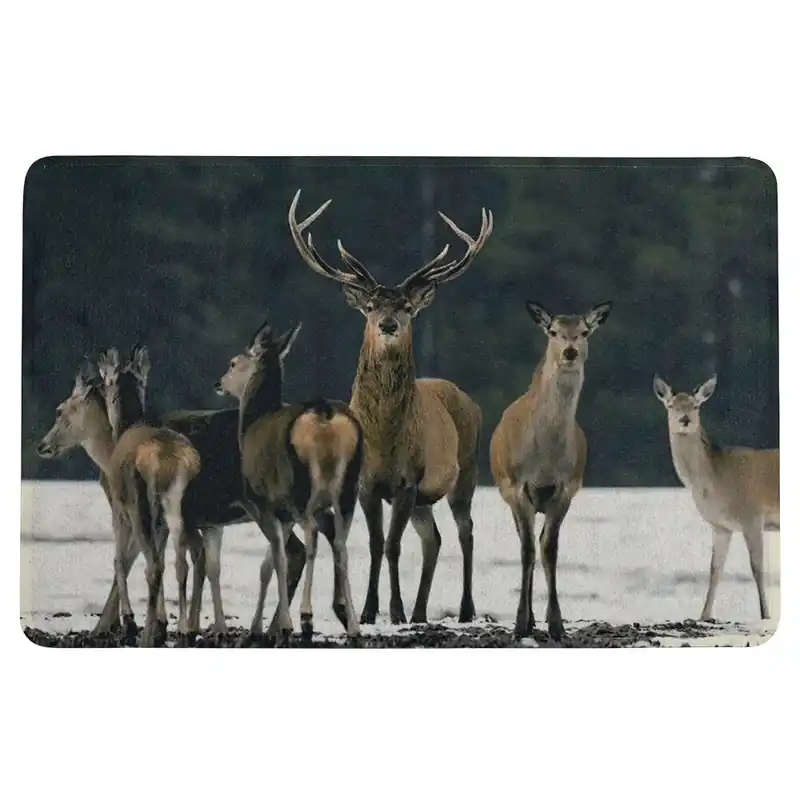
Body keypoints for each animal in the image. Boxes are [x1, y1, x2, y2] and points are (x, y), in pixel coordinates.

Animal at [96, 345, 202, 646]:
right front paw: (162, 623)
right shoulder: (163, 522)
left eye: (106, 382)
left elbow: (119, 561)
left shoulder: (118, 508)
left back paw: (145, 633)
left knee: (152, 566)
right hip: (186, 506)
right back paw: (184, 631)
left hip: (138, 503)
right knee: (186, 559)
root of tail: (169, 462)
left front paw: (131, 622)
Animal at [215, 317, 364, 643]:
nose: (218, 383)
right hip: (348, 488)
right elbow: (270, 563)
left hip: (299, 488)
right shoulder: (284, 513)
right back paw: (354, 626)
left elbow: (278, 560)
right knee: (342, 544)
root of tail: (324, 414)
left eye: (233, 362)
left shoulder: (265, 503)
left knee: (312, 537)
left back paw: (307, 618)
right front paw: (266, 626)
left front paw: (279, 625)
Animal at [287, 189, 491, 626]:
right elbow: (377, 545)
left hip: (465, 470)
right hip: (425, 499)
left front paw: (393, 611)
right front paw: (368, 611)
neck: (382, 435)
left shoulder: (407, 480)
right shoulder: (365, 484)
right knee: (434, 538)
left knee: (465, 532)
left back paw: (464, 610)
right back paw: (420, 612)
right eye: (370, 307)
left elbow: (394, 546)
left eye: (407, 308)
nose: (388, 325)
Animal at [490, 300, 613, 641]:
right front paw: (520, 624)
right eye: (554, 331)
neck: (545, 459)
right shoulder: (518, 487)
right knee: (526, 544)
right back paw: (529, 619)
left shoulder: (565, 489)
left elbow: (550, 549)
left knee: (539, 542)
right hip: (509, 492)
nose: (569, 351)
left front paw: (557, 624)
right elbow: (527, 551)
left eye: (584, 331)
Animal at [653, 373, 779, 621]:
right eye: (671, 405)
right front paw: (704, 615)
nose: (684, 420)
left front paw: (765, 615)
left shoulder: (753, 516)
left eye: (695, 405)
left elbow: (757, 567)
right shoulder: (720, 526)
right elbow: (715, 568)